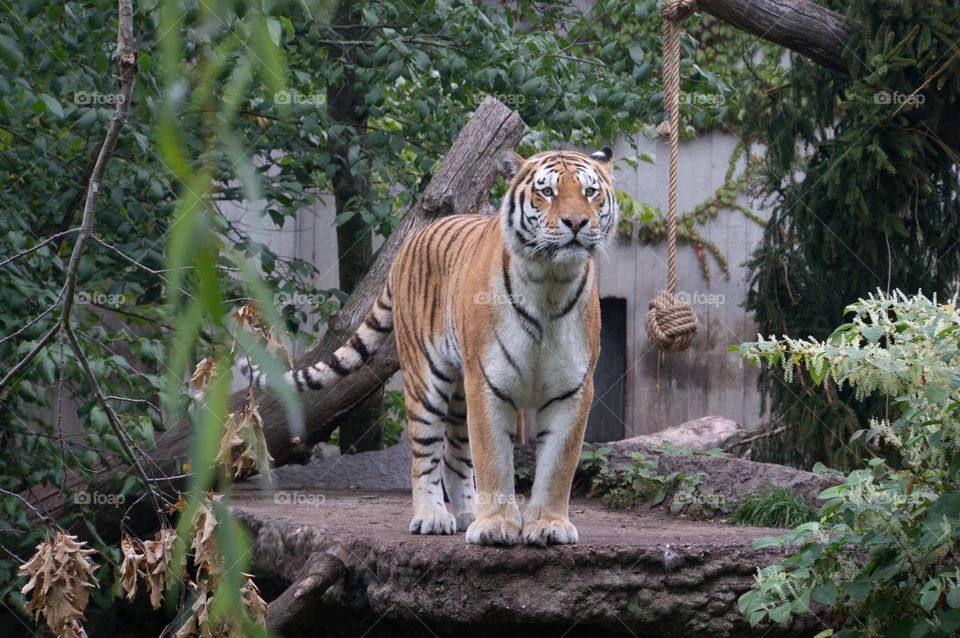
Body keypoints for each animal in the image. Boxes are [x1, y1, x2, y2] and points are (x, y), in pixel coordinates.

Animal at [244, 147, 618, 545]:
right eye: (546, 192)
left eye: (590, 192)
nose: (576, 222)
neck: (550, 282)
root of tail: (408, 243)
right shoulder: (487, 382)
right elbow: (493, 460)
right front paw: (495, 525)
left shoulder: (573, 387)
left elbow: (558, 465)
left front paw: (548, 525)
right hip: (426, 380)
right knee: (425, 456)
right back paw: (433, 517)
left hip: (459, 391)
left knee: (455, 454)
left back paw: (467, 513)